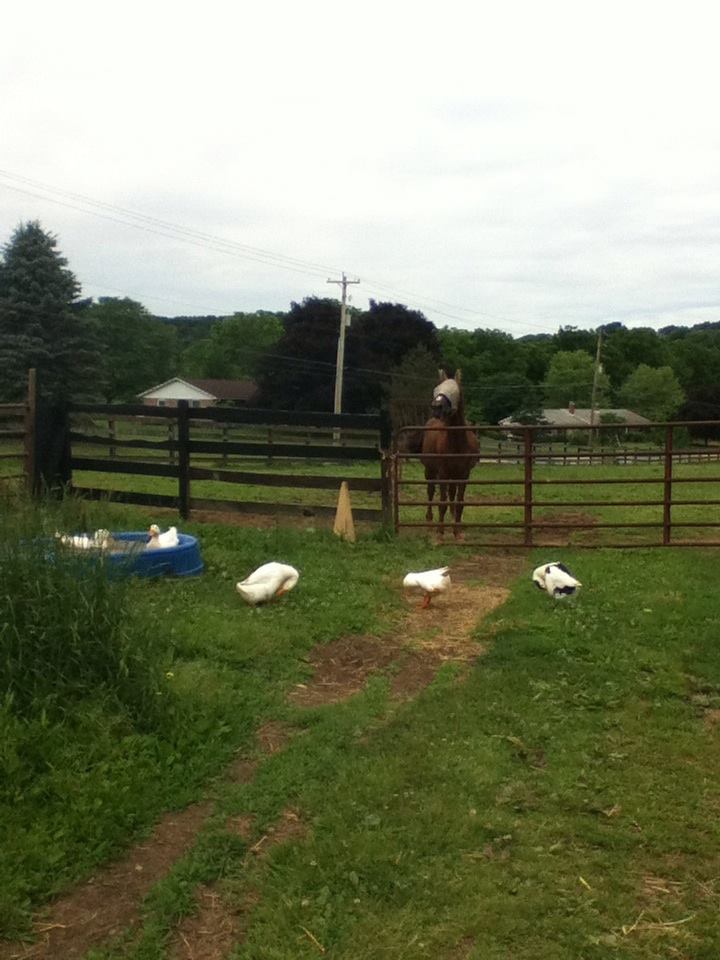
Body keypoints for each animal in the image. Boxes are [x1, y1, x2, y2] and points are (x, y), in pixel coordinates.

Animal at [420, 370, 480, 540]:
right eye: (436, 389)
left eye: (455, 391)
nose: (436, 407)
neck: (457, 444)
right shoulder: (443, 473)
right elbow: (442, 502)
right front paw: (440, 533)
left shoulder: (464, 474)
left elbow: (459, 502)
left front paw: (457, 531)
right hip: (430, 471)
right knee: (430, 491)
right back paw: (429, 520)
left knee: (452, 494)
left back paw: (452, 518)